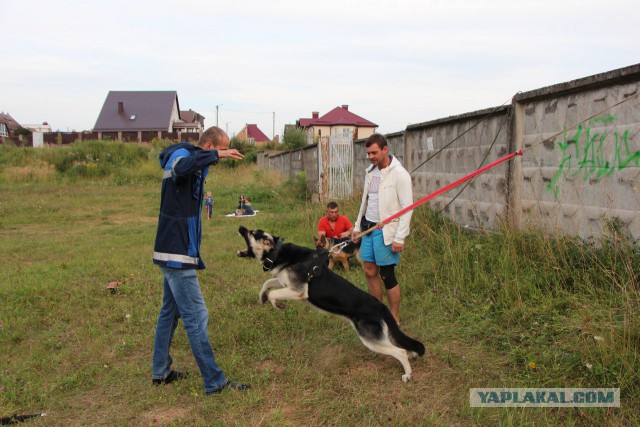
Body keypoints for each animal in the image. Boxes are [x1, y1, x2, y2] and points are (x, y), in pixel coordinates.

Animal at [236, 226, 424, 382]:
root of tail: (381, 306)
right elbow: (267, 283)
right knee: (402, 344)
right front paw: (262, 297)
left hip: (371, 339)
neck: (278, 251)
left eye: (252, 233)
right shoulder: (285, 283)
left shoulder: (298, 291)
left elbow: (273, 293)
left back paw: (408, 374)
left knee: (399, 351)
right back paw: (412, 355)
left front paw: (277, 304)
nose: (240, 227)